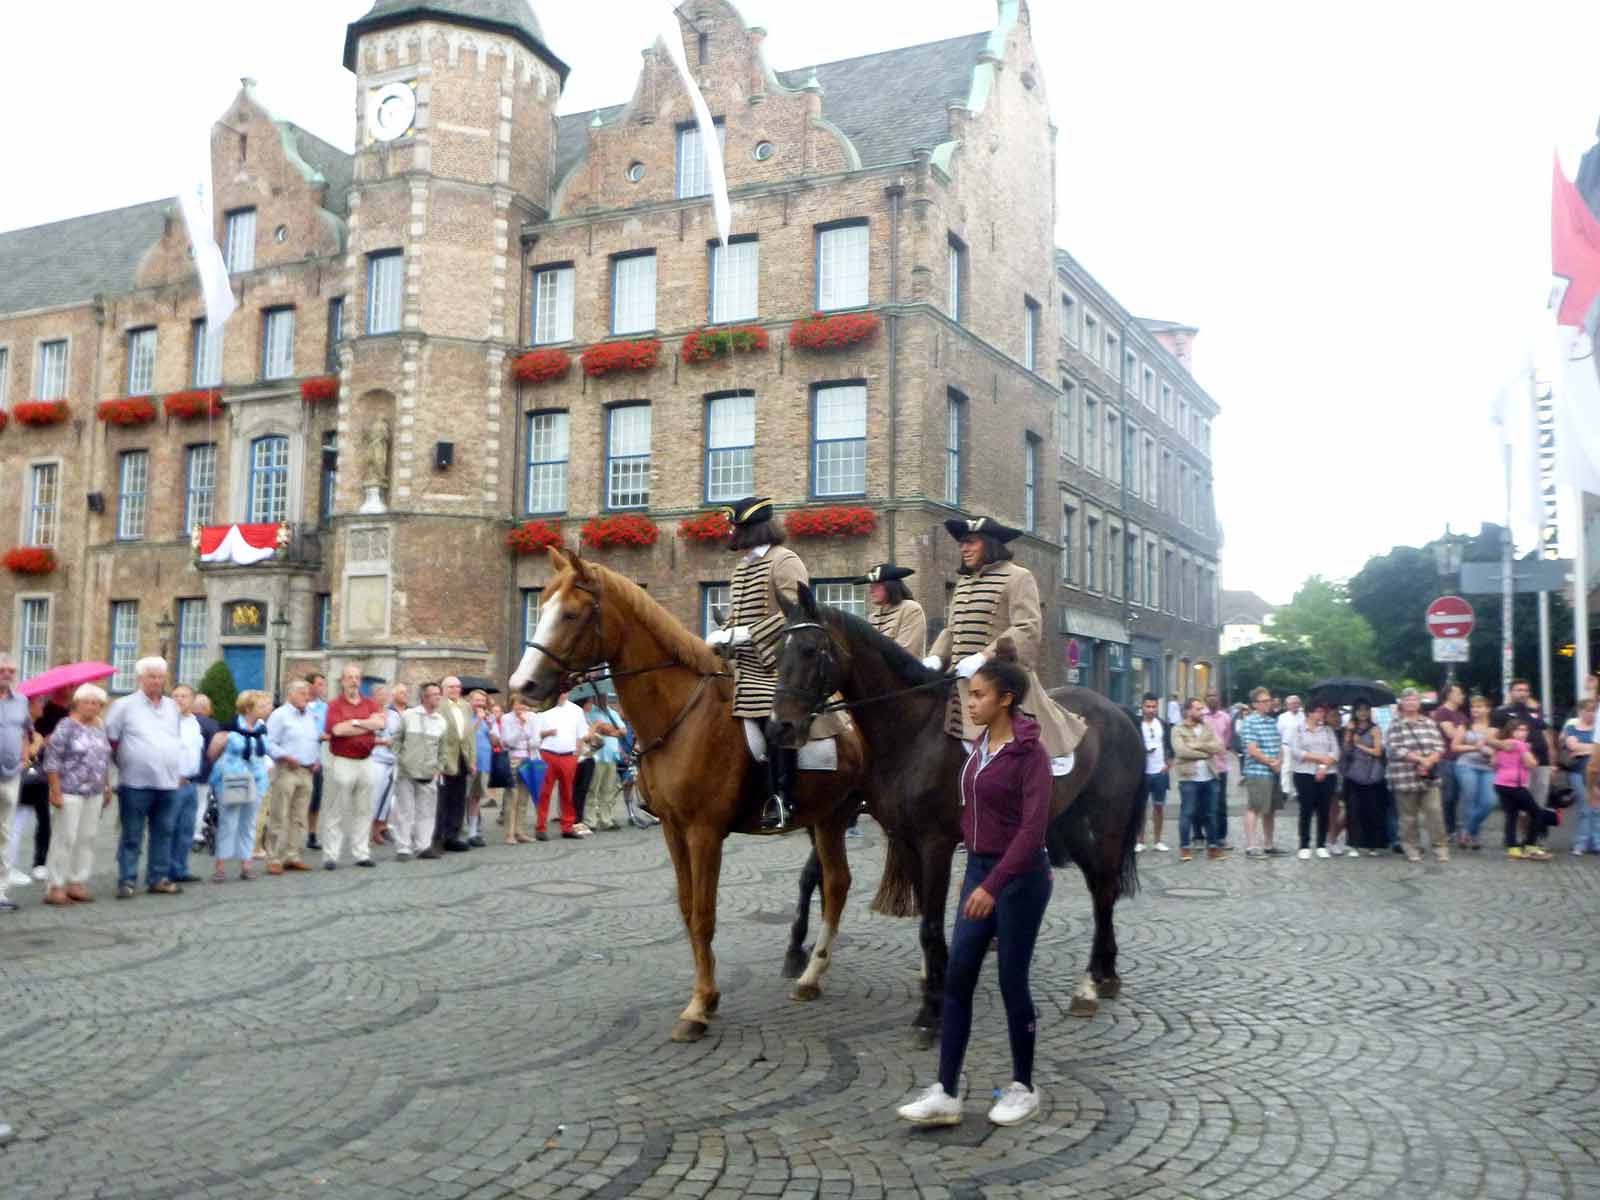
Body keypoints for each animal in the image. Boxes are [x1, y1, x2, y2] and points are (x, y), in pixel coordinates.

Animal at [508, 547, 864, 1043]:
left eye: (572, 614)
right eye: (540, 609)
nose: (521, 687)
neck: (681, 714)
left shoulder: (704, 832)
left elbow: (704, 914)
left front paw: (699, 1007)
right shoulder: (674, 831)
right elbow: (685, 908)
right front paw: (706, 998)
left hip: (840, 817)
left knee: (837, 883)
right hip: (823, 817)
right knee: (831, 882)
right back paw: (808, 967)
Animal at [768, 588, 1145, 1043]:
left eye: (810, 650)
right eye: (776, 652)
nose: (779, 728)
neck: (913, 730)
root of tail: (1117, 709)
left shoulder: (935, 842)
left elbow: (929, 924)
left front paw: (931, 1011)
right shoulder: (904, 838)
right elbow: (923, 923)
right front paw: (937, 985)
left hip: (1105, 825)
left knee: (1104, 889)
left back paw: (1091, 982)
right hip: (1068, 824)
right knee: (1098, 886)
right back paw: (1105, 973)